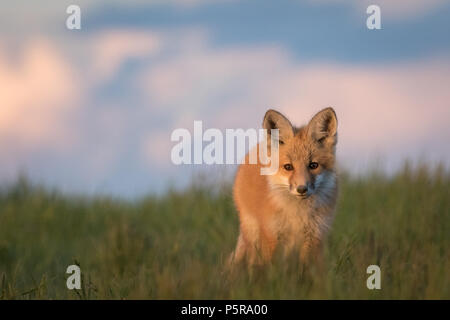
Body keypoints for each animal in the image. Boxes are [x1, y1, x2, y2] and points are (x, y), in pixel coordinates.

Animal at [229, 107, 338, 268]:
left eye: (313, 165)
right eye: (288, 167)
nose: (301, 189)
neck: (297, 214)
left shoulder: (314, 235)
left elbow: (306, 269)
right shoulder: (272, 234)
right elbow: (271, 267)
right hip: (253, 232)